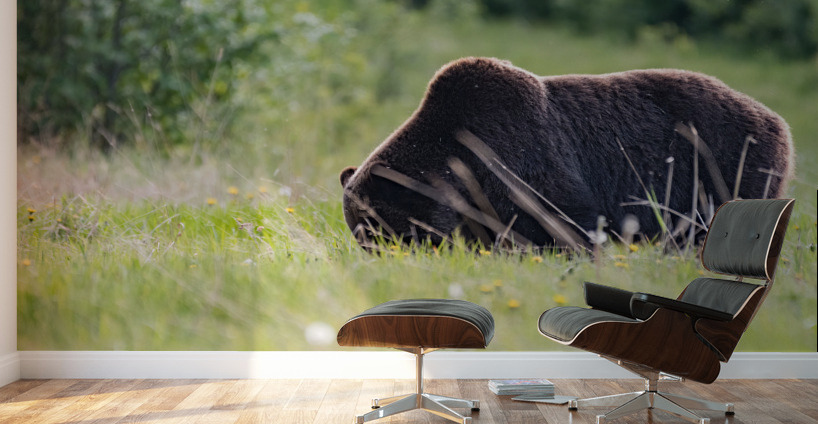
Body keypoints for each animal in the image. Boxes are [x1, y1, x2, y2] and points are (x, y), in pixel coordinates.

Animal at [340, 57, 794, 249]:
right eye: (357, 227)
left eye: (374, 226)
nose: (373, 254)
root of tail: (776, 118)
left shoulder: (522, 158)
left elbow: (565, 218)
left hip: (723, 164)